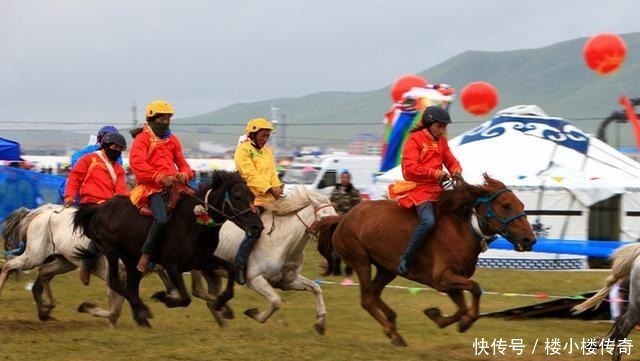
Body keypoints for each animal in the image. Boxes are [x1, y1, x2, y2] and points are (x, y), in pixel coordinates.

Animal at [74, 169, 264, 326]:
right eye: (237, 196)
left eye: (252, 196)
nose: (257, 227)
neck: (194, 222)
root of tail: (98, 209)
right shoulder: (172, 265)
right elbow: (185, 298)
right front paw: (162, 297)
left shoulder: (203, 260)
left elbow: (231, 269)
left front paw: (220, 302)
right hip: (111, 251)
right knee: (115, 282)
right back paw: (143, 310)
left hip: (132, 259)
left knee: (132, 287)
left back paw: (142, 319)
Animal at [195, 187, 342, 334]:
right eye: (323, 218)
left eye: (335, 216)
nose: (334, 248)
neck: (282, 244)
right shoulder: (254, 279)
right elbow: (276, 301)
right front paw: (253, 313)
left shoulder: (289, 281)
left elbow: (316, 288)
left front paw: (320, 324)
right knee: (199, 292)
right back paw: (226, 310)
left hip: (212, 273)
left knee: (209, 299)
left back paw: (224, 320)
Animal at [330, 174, 536, 346]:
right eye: (506, 205)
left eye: (522, 205)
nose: (529, 239)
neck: (463, 230)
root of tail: (344, 217)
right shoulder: (443, 278)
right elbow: (476, 289)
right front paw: (464, 321)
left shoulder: (453, 280)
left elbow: (462, 306)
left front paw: (442, 317)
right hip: (360, 260)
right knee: (366, 299)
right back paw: (392, 332)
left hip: (386, 268)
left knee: (374, 294)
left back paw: (393, 322)